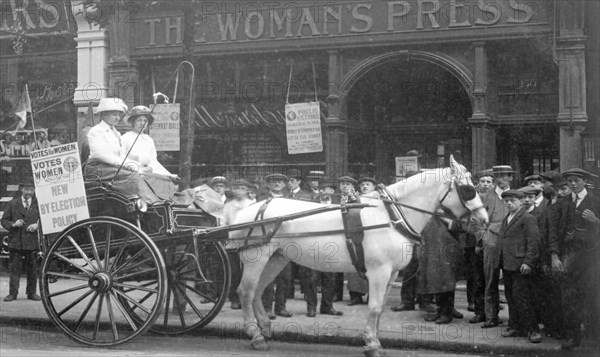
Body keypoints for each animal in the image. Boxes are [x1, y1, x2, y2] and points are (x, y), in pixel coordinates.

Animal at [229, 156, 488, 356]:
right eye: (468, 189)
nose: (484, 219)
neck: (391, 214)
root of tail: (247, 210)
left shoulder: (391, 273)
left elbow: (380, 308)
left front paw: (375, 340)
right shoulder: (378, 271)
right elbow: (373, 307)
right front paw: (372, 345)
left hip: (276, 258)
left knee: (257, 291)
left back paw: (264, 329)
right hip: (256, 257)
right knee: (245, 291)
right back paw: (255, 335)